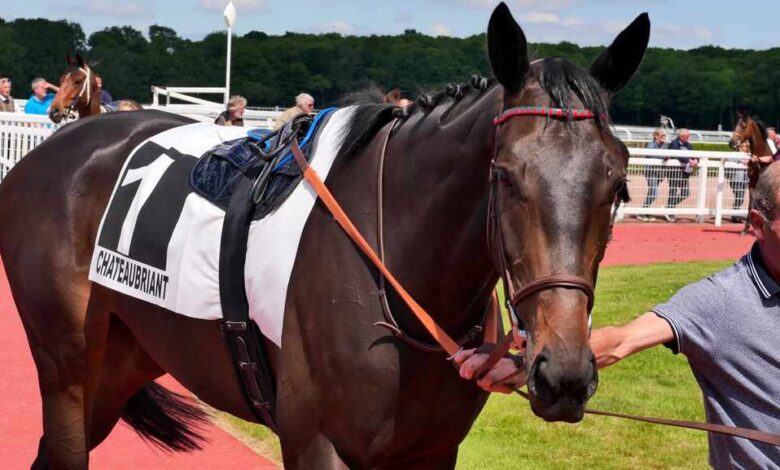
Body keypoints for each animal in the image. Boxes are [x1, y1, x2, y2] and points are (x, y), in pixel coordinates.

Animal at [0, 4, 648, 470]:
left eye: (618, 184)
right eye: (505, 175)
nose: (563, 375)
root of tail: (54, 148)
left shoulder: (431, 451)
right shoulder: (316, 444)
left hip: (121, 361)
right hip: (67, 364)